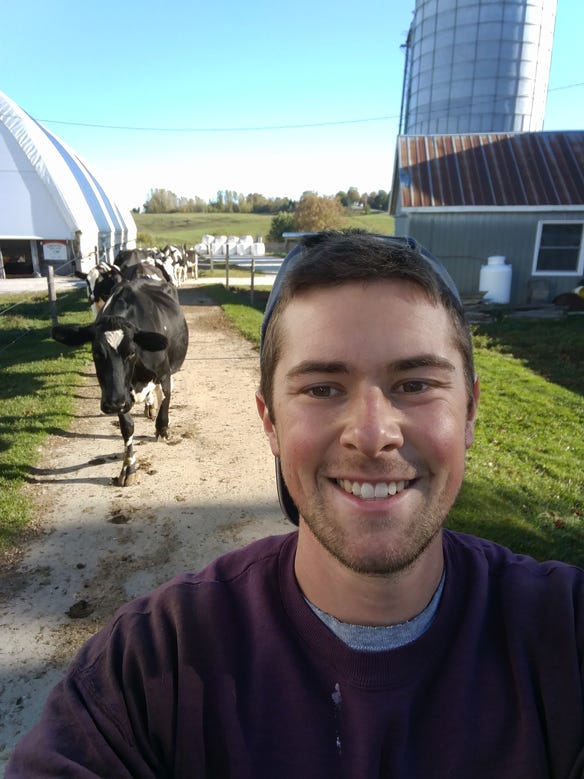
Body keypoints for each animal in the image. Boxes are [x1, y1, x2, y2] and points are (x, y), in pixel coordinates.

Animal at [52, 280, 188, 484]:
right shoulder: (117, 393)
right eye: (96, 353)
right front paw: (128, 468)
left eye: (131, 352)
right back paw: (149, 406)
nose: (112, 404)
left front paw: (163, 427)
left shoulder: (163, 373)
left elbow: (166, 397)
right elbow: (127, 427)